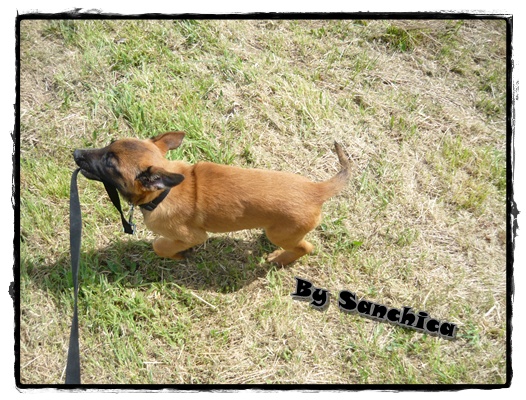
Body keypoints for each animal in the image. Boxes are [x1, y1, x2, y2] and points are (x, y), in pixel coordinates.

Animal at [73, 131, 350, 268]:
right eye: (109, 144)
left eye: (110, 164)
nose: (76, 153)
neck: (164, 193)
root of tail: (316, 189)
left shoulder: (194, 235)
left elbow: (159, 245)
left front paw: (178, 255)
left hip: (283, 234)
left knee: (305, 248)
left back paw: (280, 259)